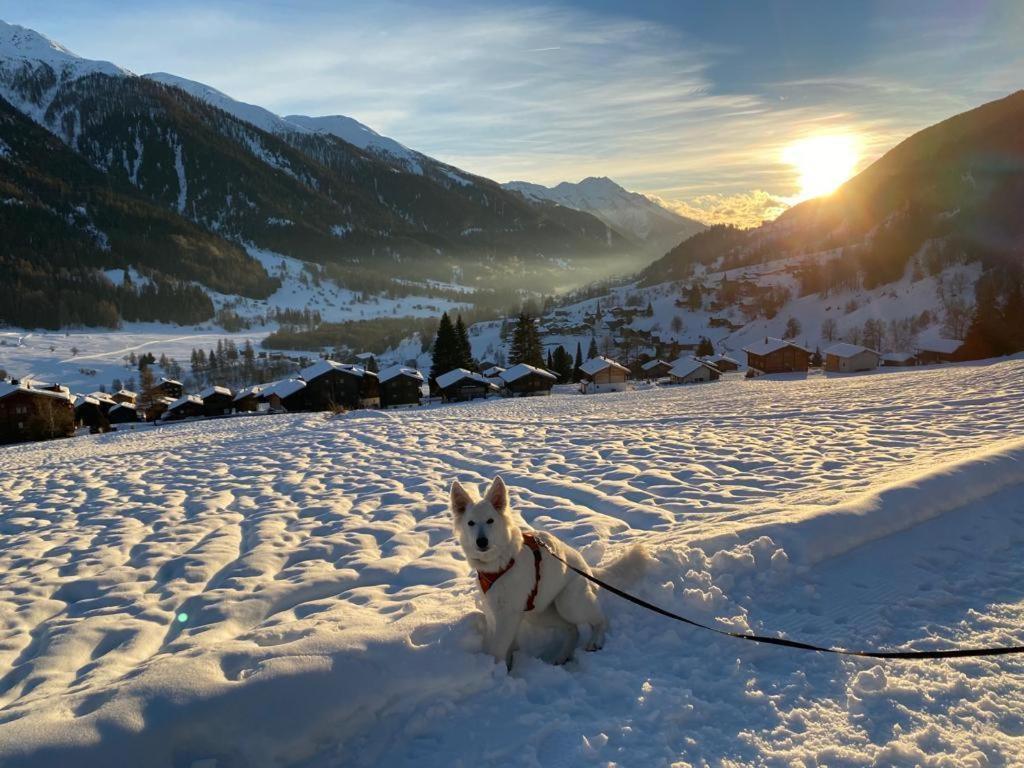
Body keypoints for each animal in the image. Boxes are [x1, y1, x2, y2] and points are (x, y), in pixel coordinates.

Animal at [450, 479, 606, 671]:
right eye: (470, 523)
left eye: (490, 521)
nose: (482, 542)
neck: (499, 563)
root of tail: (586, 567)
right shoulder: (496, 611)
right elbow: (502, 646)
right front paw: (505, 667)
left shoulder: (507, 615)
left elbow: (497, 649)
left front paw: (495, 672)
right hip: (538, 612)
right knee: (572, 629)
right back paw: (562, 657)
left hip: (568, 603)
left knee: (599, 619)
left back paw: (595, 640)